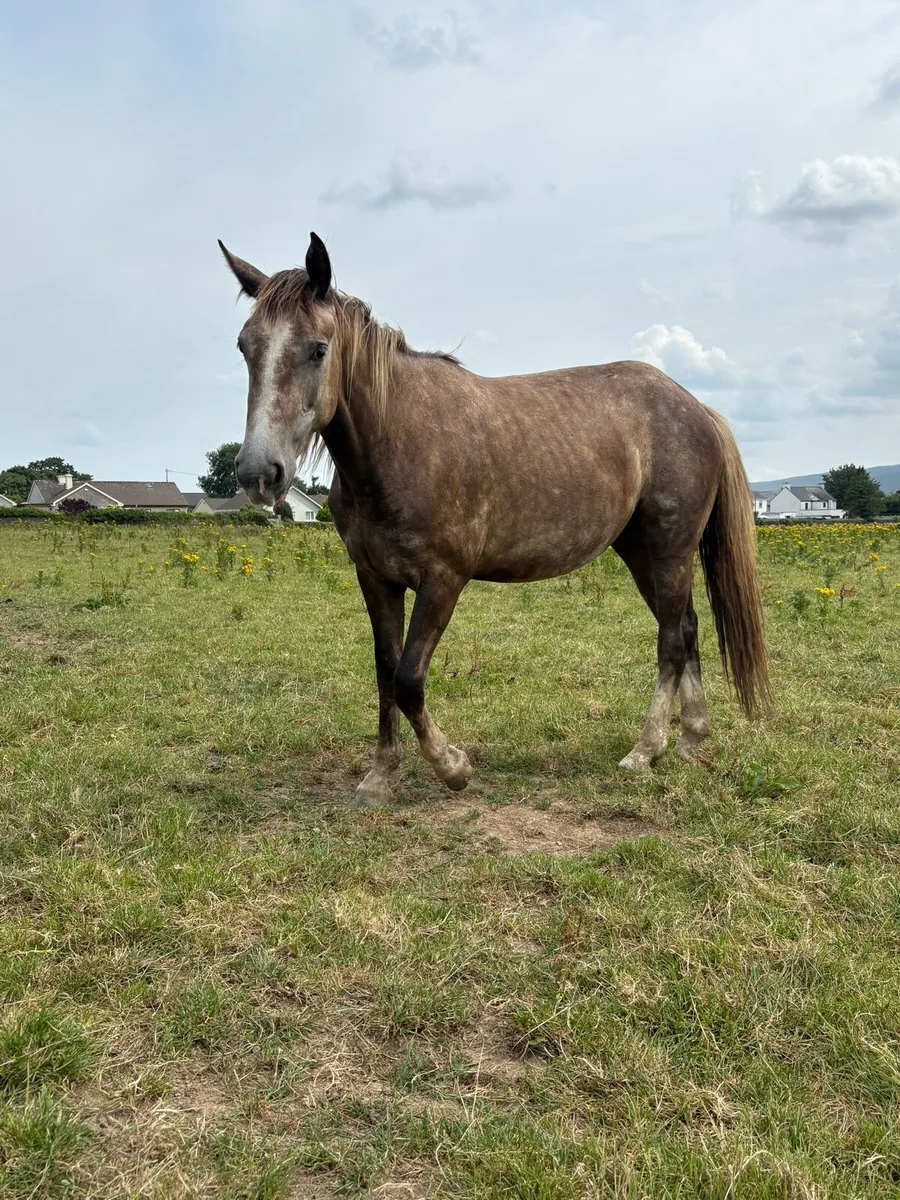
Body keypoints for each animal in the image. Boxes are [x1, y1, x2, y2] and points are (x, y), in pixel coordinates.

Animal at [219, 233, 770, 806]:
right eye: (245, 346)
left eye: (318, 349)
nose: (259, 472)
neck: (398, 441)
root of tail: (697, 407)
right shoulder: (375, 578)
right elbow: (385, 671)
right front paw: (381, 775)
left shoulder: (443, 580)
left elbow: (409, 679)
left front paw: (453, 767)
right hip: (641, 552)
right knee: (684, 627)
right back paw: (688, 738)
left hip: (670, 550)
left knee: (670, 642)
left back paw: (645, 749)